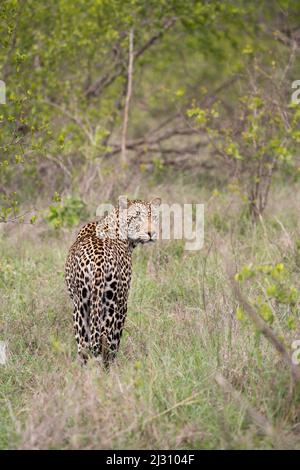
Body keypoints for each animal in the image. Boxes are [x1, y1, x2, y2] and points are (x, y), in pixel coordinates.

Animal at [64, 196, 161, 370]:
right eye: (137, 217)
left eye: (155, 217)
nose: (151, 233)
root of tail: (98, 263)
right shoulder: (123, 304)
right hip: (111, 306)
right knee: (106, 342)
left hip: (81, 306)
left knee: (84, 346)